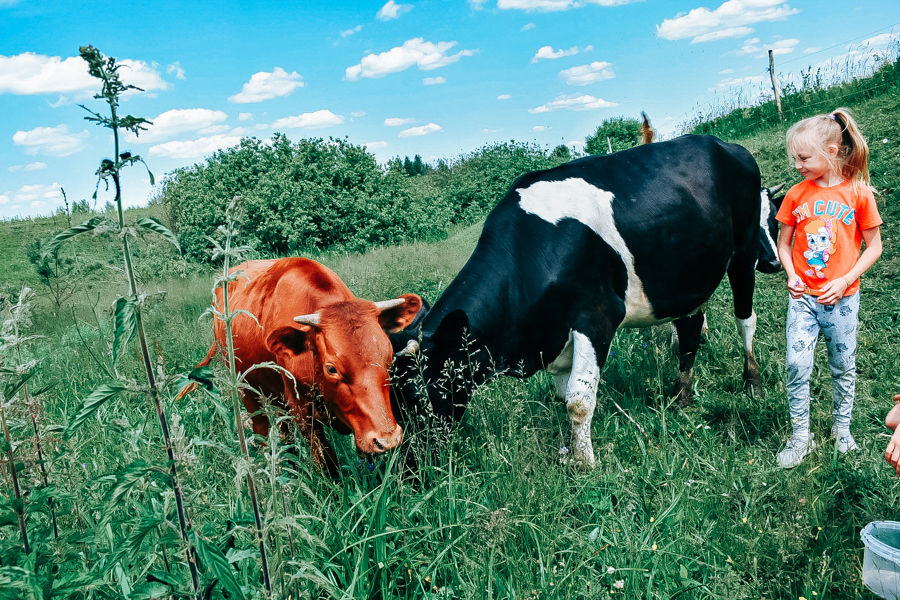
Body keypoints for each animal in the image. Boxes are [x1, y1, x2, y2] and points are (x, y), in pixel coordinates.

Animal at [197, 258, 422, 478]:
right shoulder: (303, 414)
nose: (388, 439)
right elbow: (328, 465)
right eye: (331, 369)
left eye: (388, 357)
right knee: (261, 429)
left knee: (284, 430)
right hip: (245, 389)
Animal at [394, 134, 780, 466]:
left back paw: (753, 382)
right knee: (690, 328)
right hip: (689, 274)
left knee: (745, 318)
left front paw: (585, 465)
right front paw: (571, 453)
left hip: (744, 253)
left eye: (417, 394)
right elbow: (565, 395)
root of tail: (723, 143)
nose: (409, 466)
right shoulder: (553, 337)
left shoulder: (596, 318)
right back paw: (681, 396)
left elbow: (578, 403)